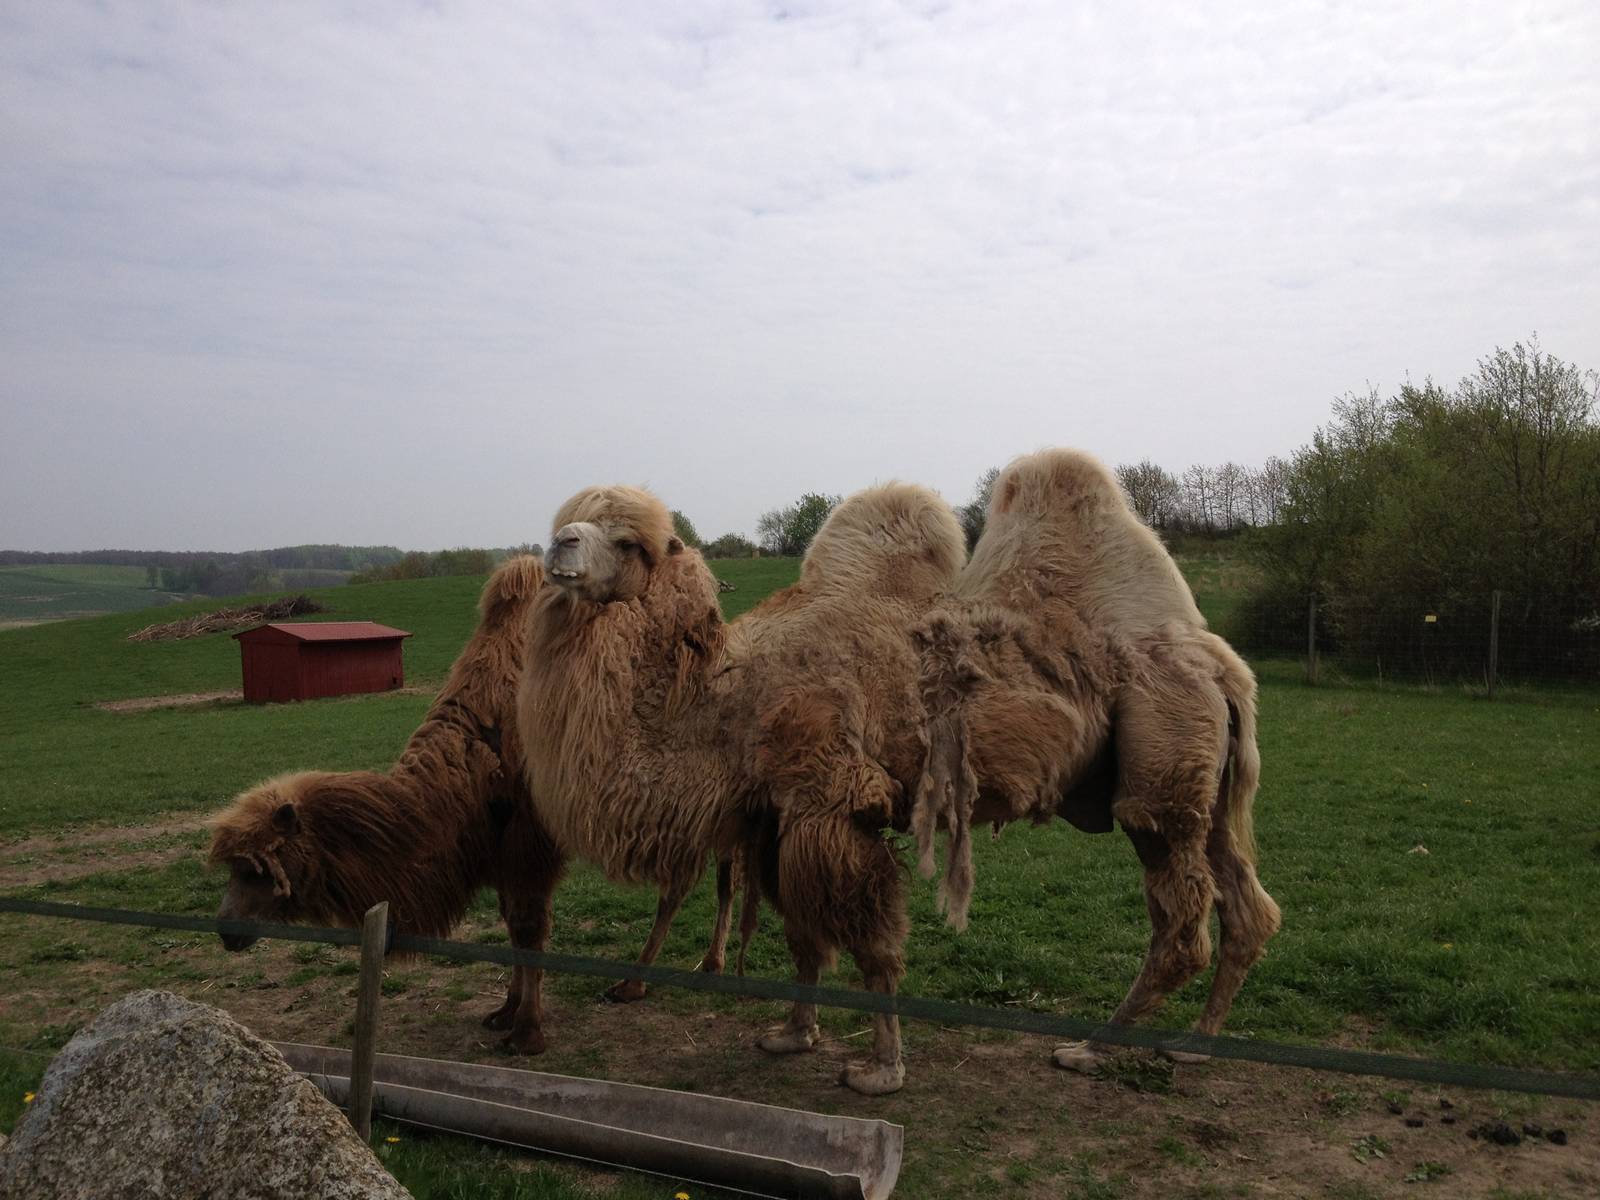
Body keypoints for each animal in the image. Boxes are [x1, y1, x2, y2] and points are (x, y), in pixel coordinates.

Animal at [207, 555, 739, 1054]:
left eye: (259, 869)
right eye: (235, 867)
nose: (226, 930)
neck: (474, 759)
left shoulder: (529, 840)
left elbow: (530, 928)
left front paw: (527, 1032)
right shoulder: (496, 846)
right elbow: (511, 925)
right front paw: (505, 1011)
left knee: (685, 879)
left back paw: (640, 981)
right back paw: (703, 964)